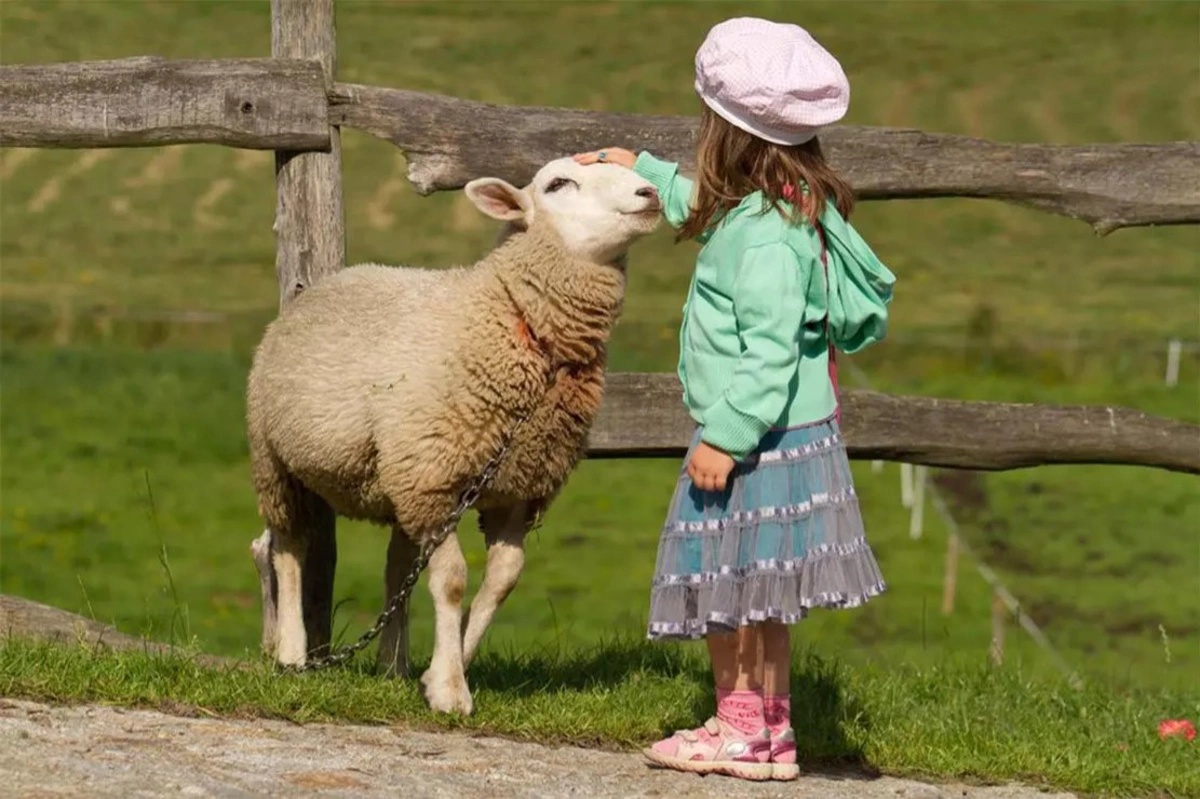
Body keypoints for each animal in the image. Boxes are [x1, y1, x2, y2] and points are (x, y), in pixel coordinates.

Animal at [241, 155, 657, 710]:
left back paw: (391, 665)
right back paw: (290, 650)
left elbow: (502, 581)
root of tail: (326, 283)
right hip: (278, 461)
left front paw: (444, 665)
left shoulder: (514, 492)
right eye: (558, 184)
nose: (649, 194)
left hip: (396, 476)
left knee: (394, 569)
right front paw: (451, 690)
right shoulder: (435, 483)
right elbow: (455, 581)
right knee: (288, 548)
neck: (517, 322)